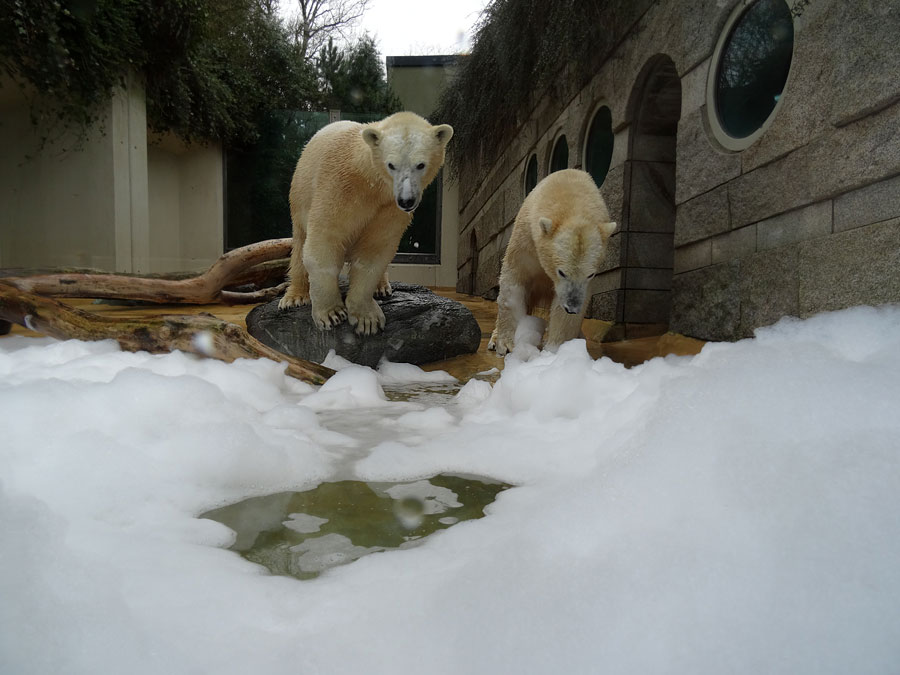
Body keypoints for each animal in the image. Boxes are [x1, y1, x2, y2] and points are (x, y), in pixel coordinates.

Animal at [278, 112, 454, 336]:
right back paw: (294, 296)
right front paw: (331, 314)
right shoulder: (338, 186)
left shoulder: (388, 207)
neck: (368, 180)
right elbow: (325, 240)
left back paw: (382, 287)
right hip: (299, 196)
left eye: (420, 165)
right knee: (300, 245)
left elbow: (374, 250)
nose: (407, 201)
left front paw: (367, 319)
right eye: (391, 165)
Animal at [488, 169, 616, 356]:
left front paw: (556, 349)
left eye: (590, 274)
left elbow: (565, 307)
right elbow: (514, 282)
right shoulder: (525, 241)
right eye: (561, 272)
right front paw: (506, 344)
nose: (572, 308)